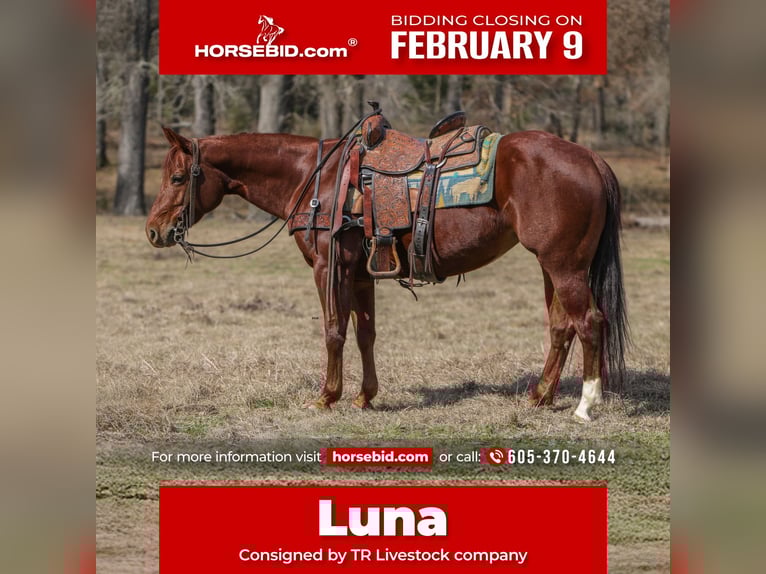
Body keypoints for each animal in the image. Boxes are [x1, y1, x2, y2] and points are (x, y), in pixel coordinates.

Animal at [146, 120, 629, 422]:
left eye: (177, 178)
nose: (154, 231)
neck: (315, 180)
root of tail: (590, 157)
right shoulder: (360, 273)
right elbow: (365, 333)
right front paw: (365, 396)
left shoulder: (329, 268)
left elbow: (334, 330)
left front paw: (327, 397)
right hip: (552, 266)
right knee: (561, 327)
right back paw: (541, 397)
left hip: (565, 266)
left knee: (589, 322)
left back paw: (585, 406)